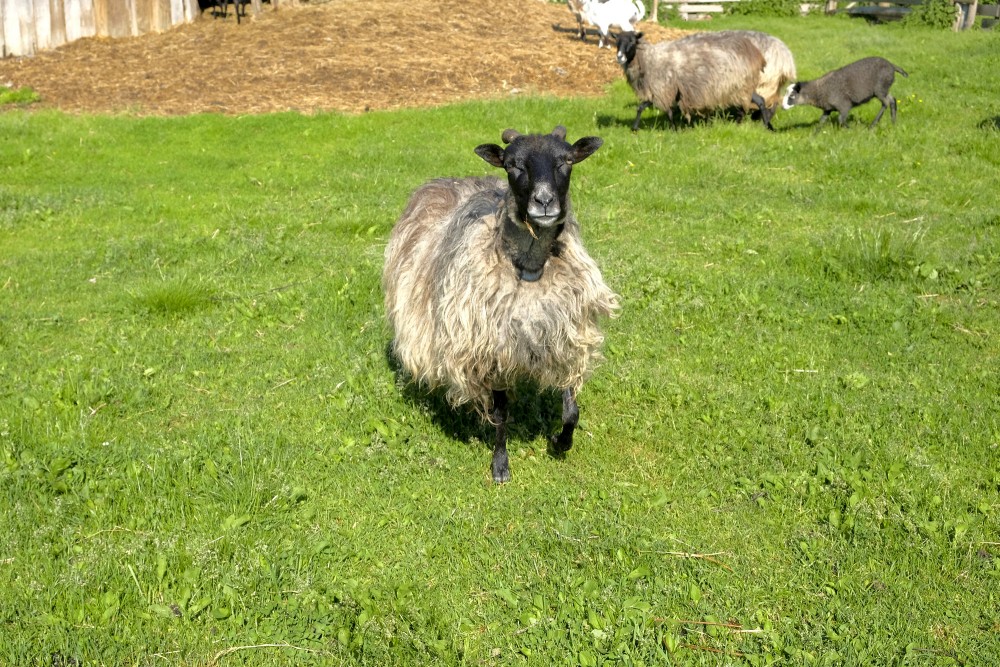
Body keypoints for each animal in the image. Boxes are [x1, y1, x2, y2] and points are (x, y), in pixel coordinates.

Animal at [382, 126, 619, 484]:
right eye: (512, 164)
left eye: (566, 160)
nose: (544, 202)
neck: (529, 268)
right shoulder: (491, 348)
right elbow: (501, 412)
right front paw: (500, 464)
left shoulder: (565, 336)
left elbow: (571, 410)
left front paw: (560, 442)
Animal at [616, 31, 770, 131]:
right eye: (617, 43)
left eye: (632, 41)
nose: (619, 57)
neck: (647, 59)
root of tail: (754, 52)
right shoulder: (662, 91)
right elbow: (642, 107)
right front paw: (635, 128)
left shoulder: (661, 89)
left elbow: (657, 109)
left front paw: (674, 129)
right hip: (742, 86)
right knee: (759, 100)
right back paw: (759, 125)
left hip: (740, 85)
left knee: (751, 103)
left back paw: (762, 125)